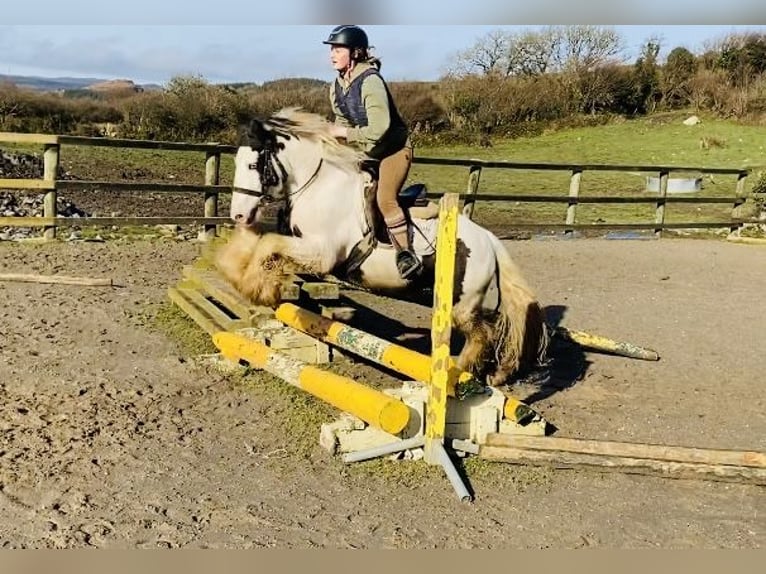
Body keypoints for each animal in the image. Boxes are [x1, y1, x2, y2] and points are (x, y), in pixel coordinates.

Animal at [218, 108, 552, 388]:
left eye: (253, 164)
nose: (238, 216)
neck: (317, 186)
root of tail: (488, 239)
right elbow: (264, 246)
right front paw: (244, 277)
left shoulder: (322, 255)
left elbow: (268, 243)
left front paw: (256, 288)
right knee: (492, 329)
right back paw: (495, 373)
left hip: (462, 303)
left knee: (483, 334)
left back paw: (457, 375)